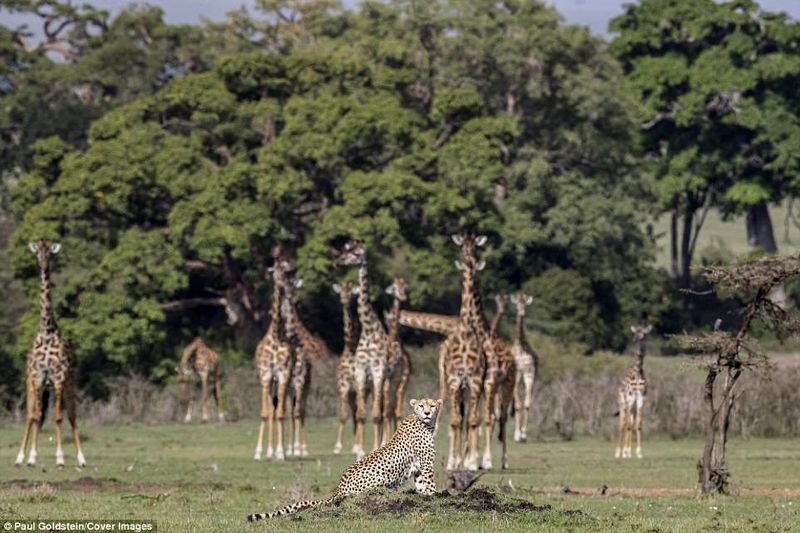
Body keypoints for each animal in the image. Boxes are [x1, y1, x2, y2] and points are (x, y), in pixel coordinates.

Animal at [15, 241, 86, 466]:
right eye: (37, 252)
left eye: (50, 253)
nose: (43, 265)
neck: (47, 331)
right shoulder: (38, 378)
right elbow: (37, 416)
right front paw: (31, 457)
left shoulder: (58, 378)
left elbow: (58, 417)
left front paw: (60, 458)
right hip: (34, 385)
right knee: (32, 415)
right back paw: (21, 457)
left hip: (67, 384)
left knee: (72, 414)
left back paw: (81, 458)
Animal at [245, 400, 444, 520]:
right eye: (421, 405)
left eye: (433, 405)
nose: (427, 412)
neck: (425, 423)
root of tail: (339, 488)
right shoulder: (426, 464)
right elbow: (431, 484)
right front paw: (434, 495)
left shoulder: (419, 467)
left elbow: (421, 484)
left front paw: (424, 496)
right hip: (379, 480)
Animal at [616, 322, 652, 460]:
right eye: (635, 332)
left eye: (644, 333)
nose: (635, 339)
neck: (638, 371)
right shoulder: (630, 398)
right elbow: (627, 425)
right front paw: (625, 452)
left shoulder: (641, 398)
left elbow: (638, 424)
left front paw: (639, 452)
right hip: (623, 404)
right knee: (622, 424)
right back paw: (619, 452)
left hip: (633, 406)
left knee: (630, 423)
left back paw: (628, 451)